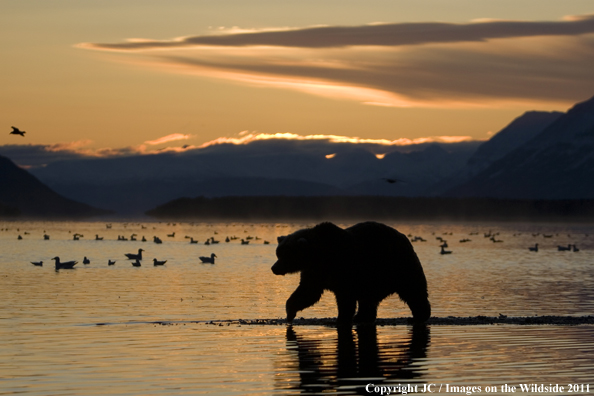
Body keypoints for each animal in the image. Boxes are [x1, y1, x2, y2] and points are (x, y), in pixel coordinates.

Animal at [270, 221, 428, 324]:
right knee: (369, 299)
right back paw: (362, 317)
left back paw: (419, 315)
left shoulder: (344, 269)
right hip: (373, 277)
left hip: (398, 265)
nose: (274, 268)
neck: (320, 257)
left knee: (413, 290)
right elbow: (307, 292)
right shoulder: (315, 272)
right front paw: (290, 312)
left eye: (285, 255)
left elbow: (345, 297)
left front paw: (341, 318)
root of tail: (404, 236)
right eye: (278, 253)